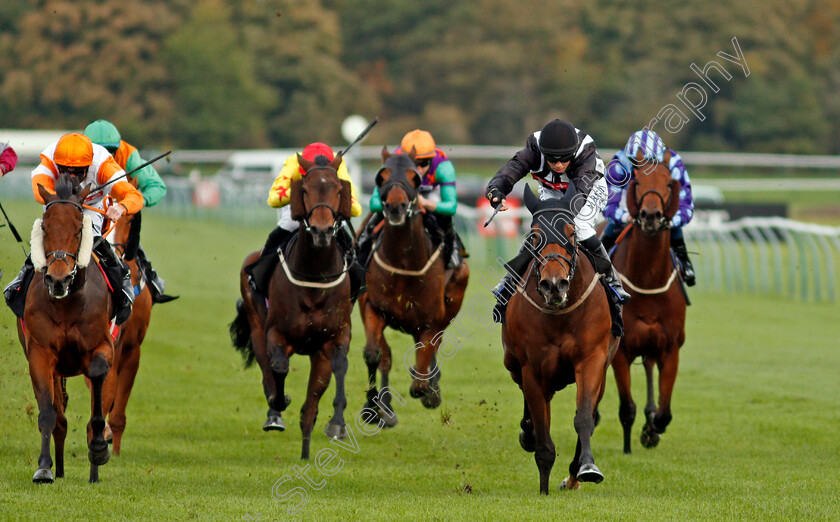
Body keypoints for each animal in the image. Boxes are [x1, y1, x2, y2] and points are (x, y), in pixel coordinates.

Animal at [20, 174, 115, 480]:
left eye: (78, 229)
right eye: (45, 227)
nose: (58, 280)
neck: (68, 303)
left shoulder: (104, 346)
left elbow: (97, 381)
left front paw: (99, 447)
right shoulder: (40, 352)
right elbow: (49, 412)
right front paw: (44, 468)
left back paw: (94, 472)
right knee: (59, 417)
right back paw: (59, 470)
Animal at [230, 152, 354, 458]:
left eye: (338, 190)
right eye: (305, 189)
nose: (322, 231)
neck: (314, 276)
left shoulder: (334, 337)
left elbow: (340, 366)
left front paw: (337, 424)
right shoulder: (277, 333)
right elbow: (279, 367)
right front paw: (279, 402)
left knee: (309, 408)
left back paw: (306, 454)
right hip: (256, 324)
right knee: (267, 366)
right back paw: (275, 411)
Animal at [358, 146, 470, 422]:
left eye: (414, 178)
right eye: (381, 176)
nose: (395, 207)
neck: (404, 263)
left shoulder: (432, 320)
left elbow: (420, 375)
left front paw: (429, 390)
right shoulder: (372, 307)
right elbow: (374, 354)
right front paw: (373, 408)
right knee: (387, 356)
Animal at [506, 185, 616, 494]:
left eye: (571, 233)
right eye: (534, 235)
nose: (554, 285)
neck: (560, 315)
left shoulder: (591, 360)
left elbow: (584, 417)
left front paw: (587, 467)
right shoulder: (532, 369)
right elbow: (542, 435)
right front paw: (543, 487)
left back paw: (574, 475)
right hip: (513, 363)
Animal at [608, 149, 684, 450]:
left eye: (668, 183)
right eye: (638, 182)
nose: (651, 215)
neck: (648, 280)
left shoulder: (670, 348)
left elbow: (665, 413)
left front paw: (651, 430)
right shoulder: (621, 350)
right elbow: (626, 408)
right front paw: (628, 449)